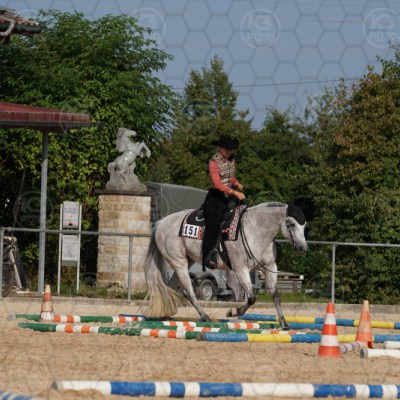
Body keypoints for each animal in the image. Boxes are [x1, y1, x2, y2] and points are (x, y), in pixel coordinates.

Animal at [143, 201, 307, 328]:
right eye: (291, 224)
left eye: (304, 225)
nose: (303, 248)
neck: (255, 230)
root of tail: (161, 222)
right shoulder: (241, 269)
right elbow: (251, 298)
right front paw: (232, 312)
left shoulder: (270, 268)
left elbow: (275, 295)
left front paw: (284, 323)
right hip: (179, 263)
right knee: (188, 292)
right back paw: (205, 317)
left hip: (187, 260)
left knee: (170, 287)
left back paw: (166, 316)